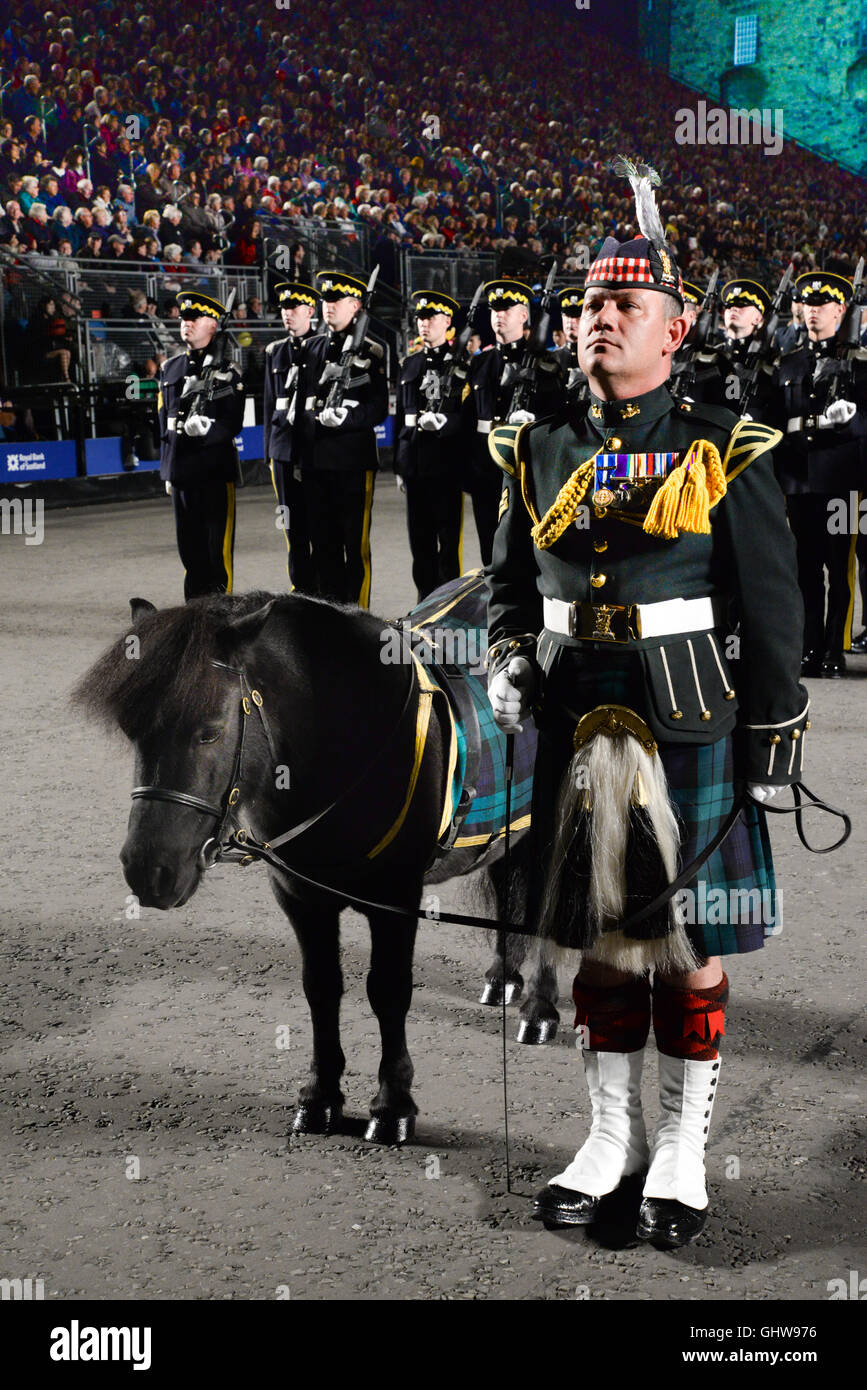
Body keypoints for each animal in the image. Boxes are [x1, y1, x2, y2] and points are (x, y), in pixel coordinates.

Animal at [77, 586, 558, 1139]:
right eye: (130, 730)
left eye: (210, 732)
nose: (147, 870)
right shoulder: (300, 896)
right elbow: (321, 988)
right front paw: (321, 1096)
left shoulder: (396, 898)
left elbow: (388, 991)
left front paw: (392, 1106)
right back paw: (502, 976)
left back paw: (540, 1009)